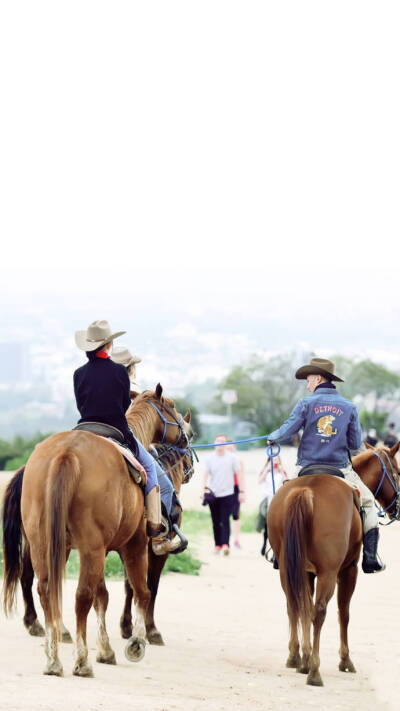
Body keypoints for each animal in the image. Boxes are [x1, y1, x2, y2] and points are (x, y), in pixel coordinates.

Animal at [268, 442, 400, 688]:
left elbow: (302, 607)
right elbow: (343, 613)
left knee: (294, 605)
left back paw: (297, 658)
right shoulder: (348, 570)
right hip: (329, 574)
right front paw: (345, 660)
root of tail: (307, 490)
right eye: (396, 471)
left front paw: (304, 656)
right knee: (319, 611)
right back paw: (314, 672)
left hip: (287, 569)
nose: (397, 506)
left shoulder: (306, 572)